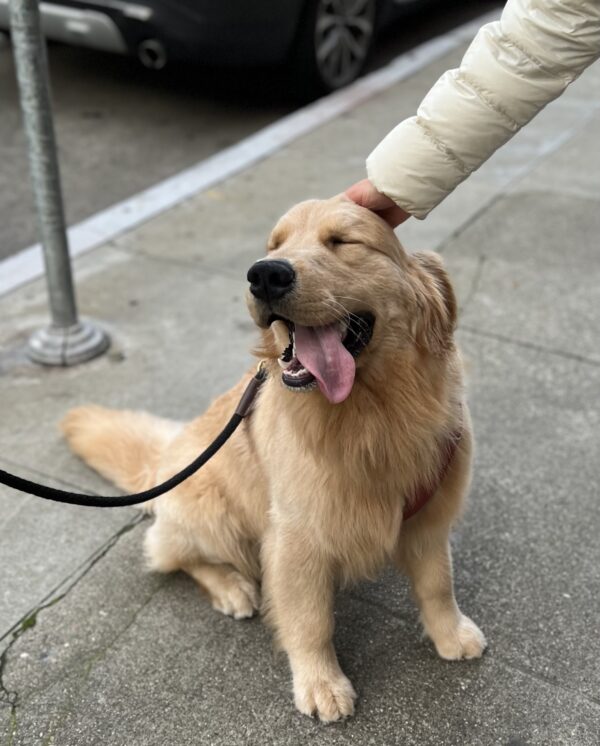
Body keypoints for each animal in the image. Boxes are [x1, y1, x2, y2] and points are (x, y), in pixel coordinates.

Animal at [61, 195, 486, 716]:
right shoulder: (295, 537)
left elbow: (438, 583)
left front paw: (452, 634)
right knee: (171, 553)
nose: (264, 274)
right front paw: (321, 683)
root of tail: (166, 455)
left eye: (343, 241)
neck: (372, 416)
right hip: (214, 515)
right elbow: (309, 620)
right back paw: (232, 587)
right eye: (275, 244)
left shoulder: (429, 518)